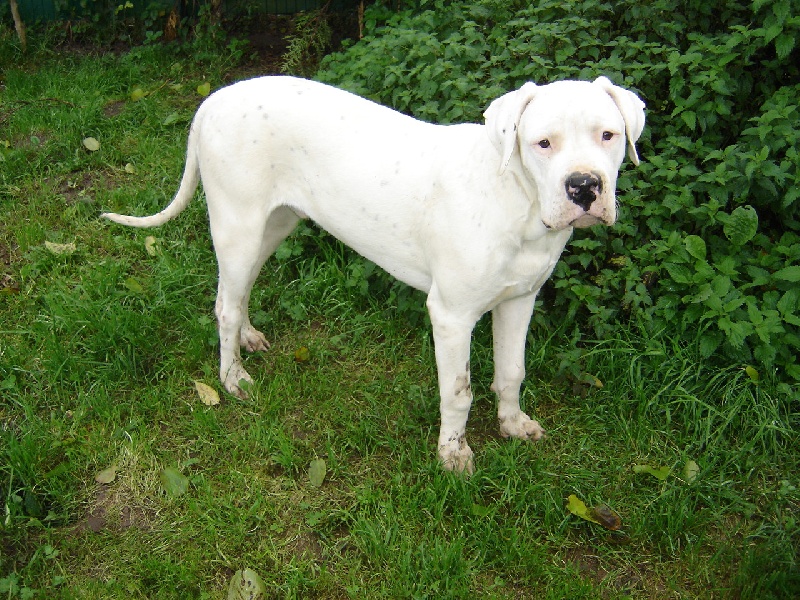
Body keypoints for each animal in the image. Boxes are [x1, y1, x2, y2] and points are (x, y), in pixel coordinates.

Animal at [104, 75, 644, 472]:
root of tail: (212, 100)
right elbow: (459, 391)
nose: (584, 186)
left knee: (235, 297)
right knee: (225, 306)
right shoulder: (451, 316)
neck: (517, 199)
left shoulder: (519, 300)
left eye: (608, 136)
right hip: (237, 225)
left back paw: (249, 339)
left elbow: (512, 371)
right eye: (543, 144)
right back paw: (232, 377)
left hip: (271, 226)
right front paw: (453, 455)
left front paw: (512, 425)